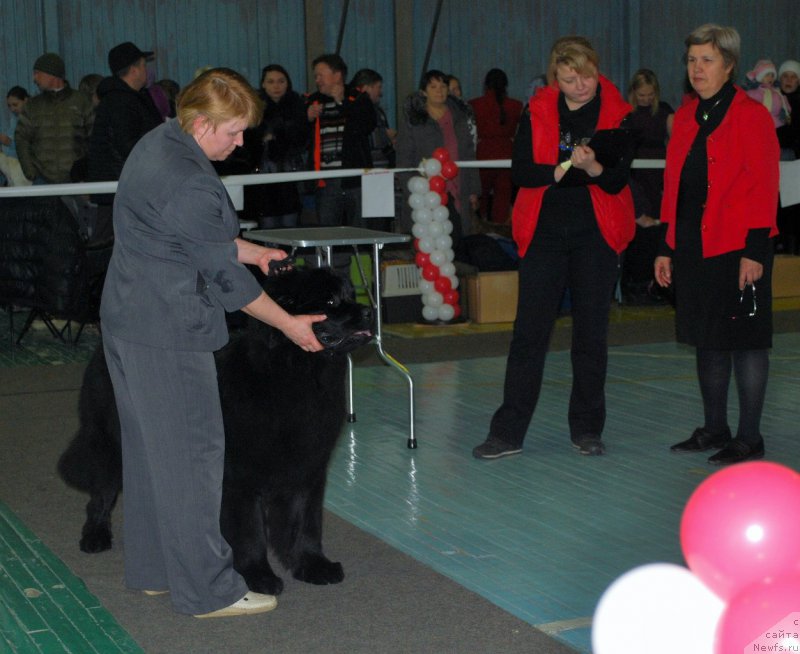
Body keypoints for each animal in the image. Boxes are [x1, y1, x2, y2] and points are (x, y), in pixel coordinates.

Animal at [57, 268, 376, 600]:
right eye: (330, 301)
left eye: (350, 294)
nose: (370, 311)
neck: (294, 372)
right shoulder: (238, 479)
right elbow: (250, 532)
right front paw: (258, 576)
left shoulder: (307, 469)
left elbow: (305, 524)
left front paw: (313, 566)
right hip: (111, 440)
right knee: (102, 490)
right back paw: (95, 535)